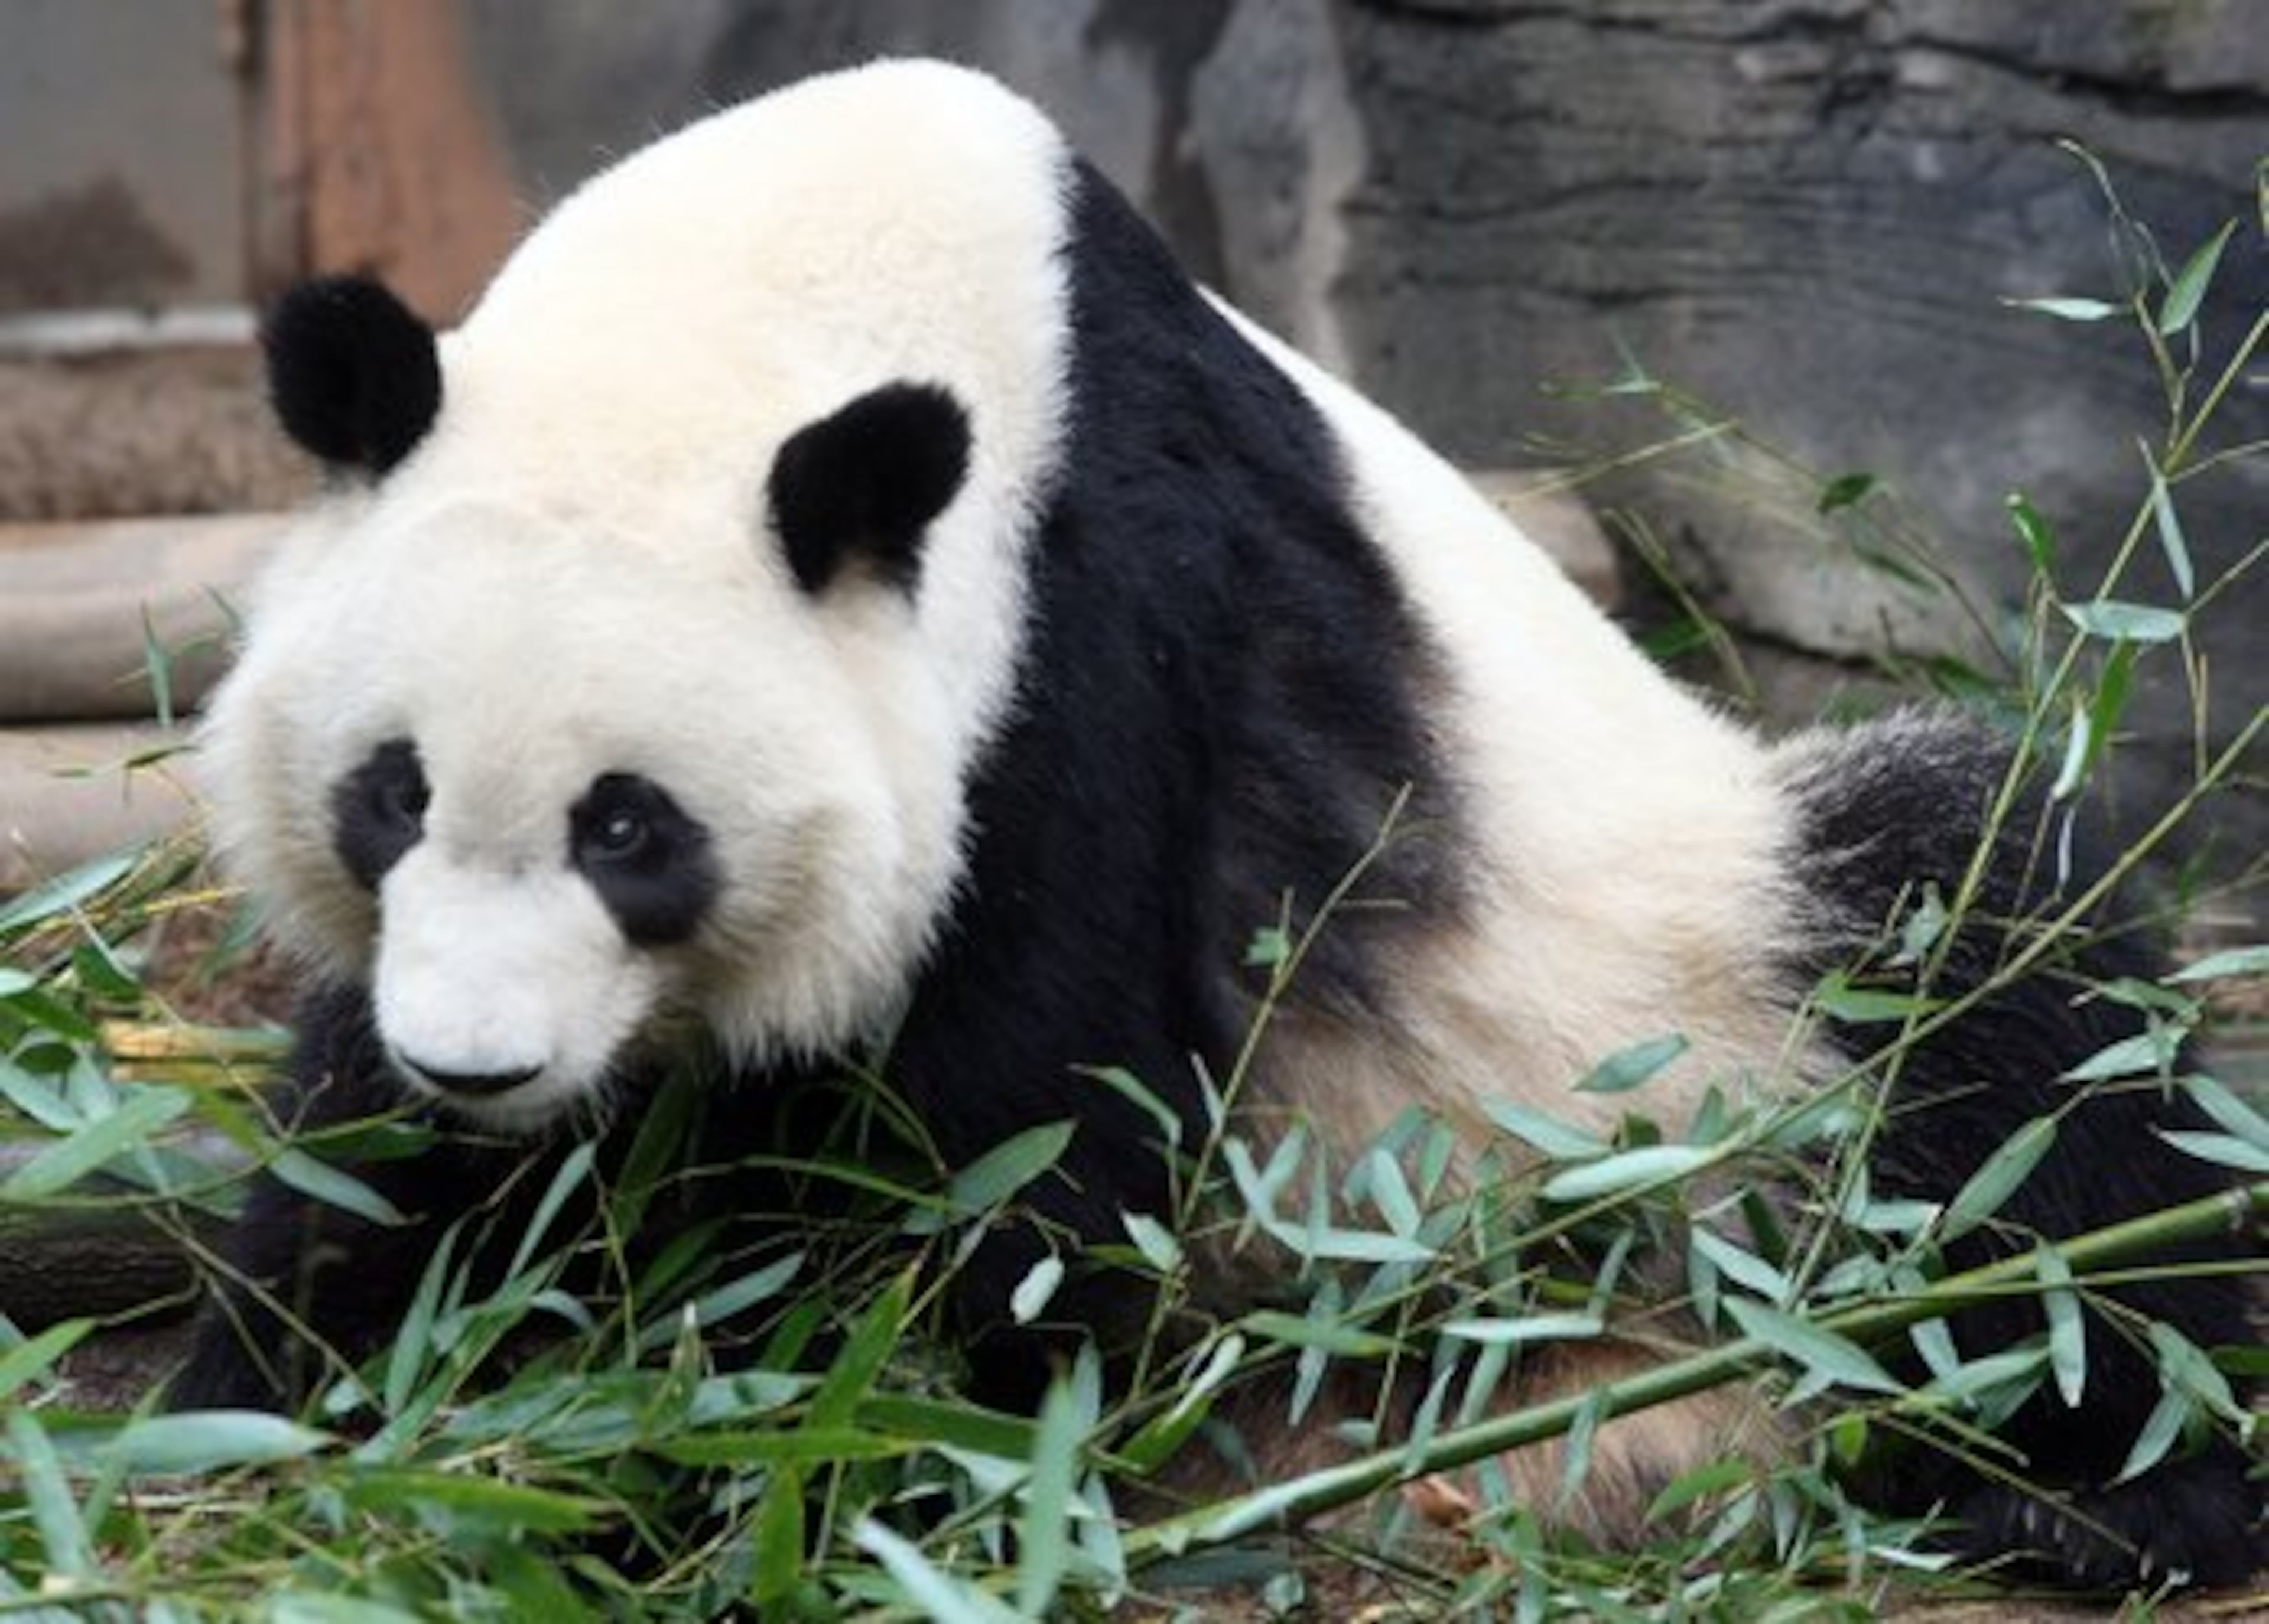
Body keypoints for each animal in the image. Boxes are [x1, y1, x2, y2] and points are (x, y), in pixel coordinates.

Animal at [173, 59, 2257, 1590]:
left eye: (632, 829)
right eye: (389, 792)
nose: (483, 1066)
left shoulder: (1081, 655)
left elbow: (1018, 1154)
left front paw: (799, 1464)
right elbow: (373, 1170)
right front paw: (310, 1416)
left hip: (1718, 980)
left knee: (1990, 990)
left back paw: (2100, 1485)